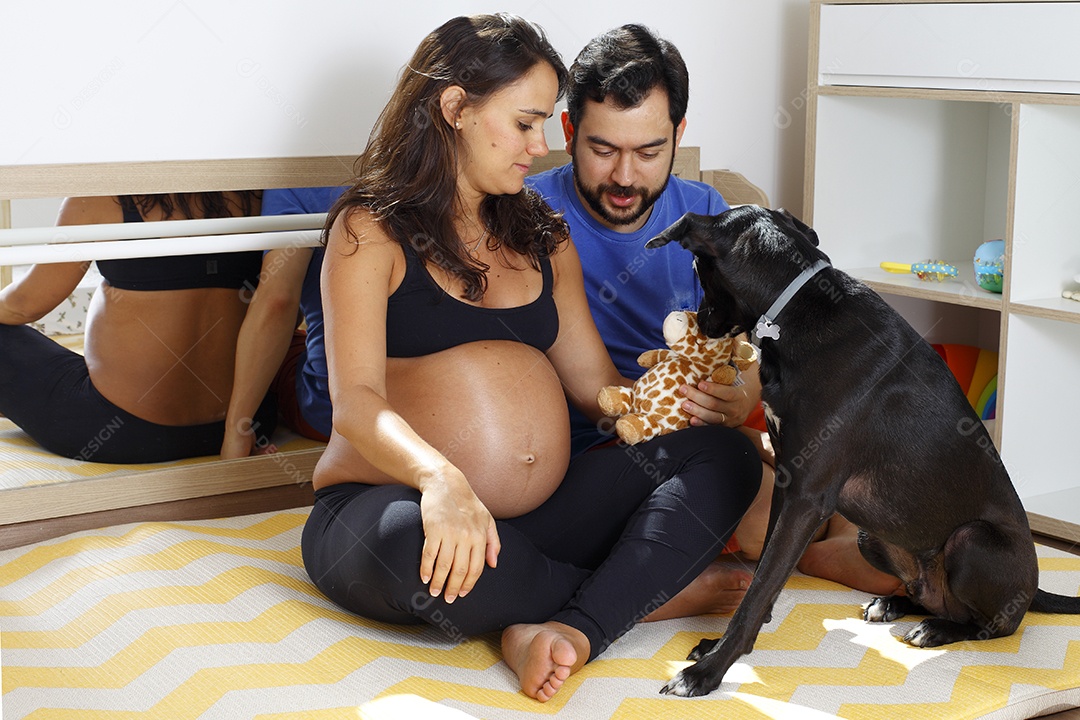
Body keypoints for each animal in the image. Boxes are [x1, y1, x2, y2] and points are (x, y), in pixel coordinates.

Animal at [643, 204, 1080, 699]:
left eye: (699, 269)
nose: (699, 321)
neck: (794, 306)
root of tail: (1033, 589)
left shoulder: (808, 496)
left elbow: (759, 591)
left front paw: (708, 671)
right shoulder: (789, 480)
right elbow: (764, 577)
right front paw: (723, 647)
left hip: (973, 542)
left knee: (993, 625)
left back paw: (938, 631)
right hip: (871, 535)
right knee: (929, 596)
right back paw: (893, 605)